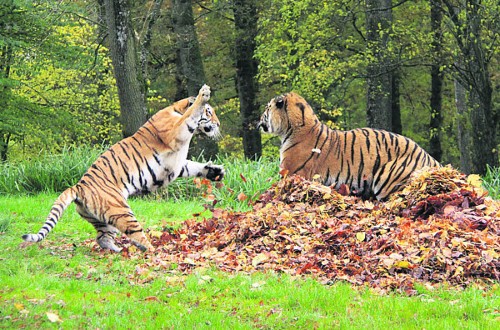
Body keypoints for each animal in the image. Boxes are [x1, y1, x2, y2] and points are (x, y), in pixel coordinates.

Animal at [23, 84, 223, 251]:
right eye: (209, 112)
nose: (219, 124)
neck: (175, 110)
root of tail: (78, 186)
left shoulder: (177, 163)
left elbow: (194, 167)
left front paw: (216, 172)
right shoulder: (177, 132)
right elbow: (191, 113)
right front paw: (203, 94)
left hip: (104, 220)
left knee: (102, 238)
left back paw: (118, 250)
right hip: (121, 211)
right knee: (137, 235)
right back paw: (152, 251)